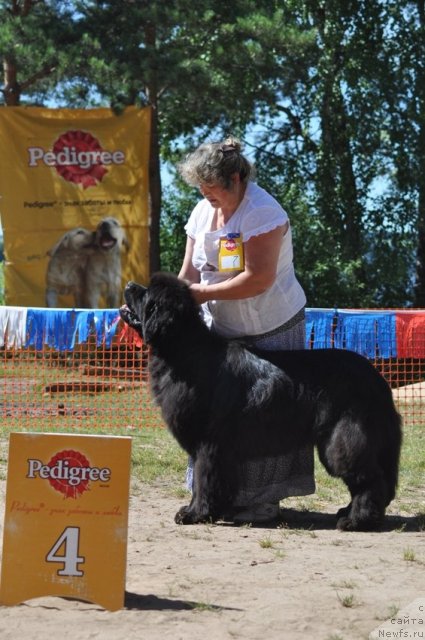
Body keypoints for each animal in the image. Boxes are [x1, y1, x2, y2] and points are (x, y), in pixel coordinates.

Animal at [120, 272, 400, 532]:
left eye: (147, 295)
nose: (129, 284)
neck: (184, 349)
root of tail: (377, 379)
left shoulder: (208, 444)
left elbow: (202, 480)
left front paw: (194, 514)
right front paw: (204, 510)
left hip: (341, 441)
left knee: (369, 480)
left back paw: (356, 520)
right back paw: (348, 512)